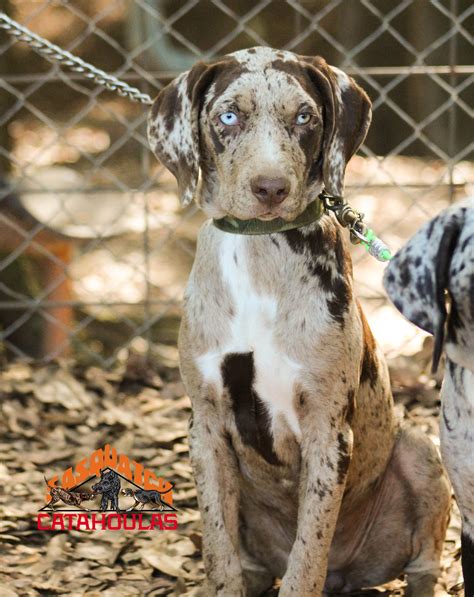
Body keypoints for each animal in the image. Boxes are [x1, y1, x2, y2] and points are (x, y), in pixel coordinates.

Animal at [147, 47, 448, 596]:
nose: (270, 187)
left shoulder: (327, 430)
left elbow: (307, 557)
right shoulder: (205, 428)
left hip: (419, 453)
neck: (259, 258)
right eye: (228, 116)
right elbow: (219, 552)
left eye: (305, 117)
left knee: (422, 566)